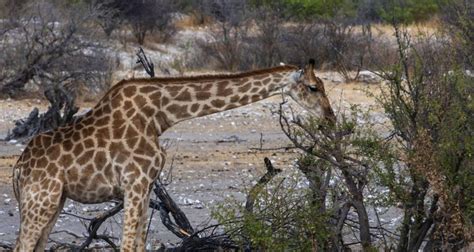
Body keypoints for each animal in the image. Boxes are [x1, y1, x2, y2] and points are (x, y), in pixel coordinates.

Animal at [12, 59, 336, 250]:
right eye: (313, 87)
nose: (330, 118)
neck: (160, 116)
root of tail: (18, 169)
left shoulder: (143, 188)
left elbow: (138, 244)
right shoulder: (135, 184)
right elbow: (128, 245)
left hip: (54, 202)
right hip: (39, 201)